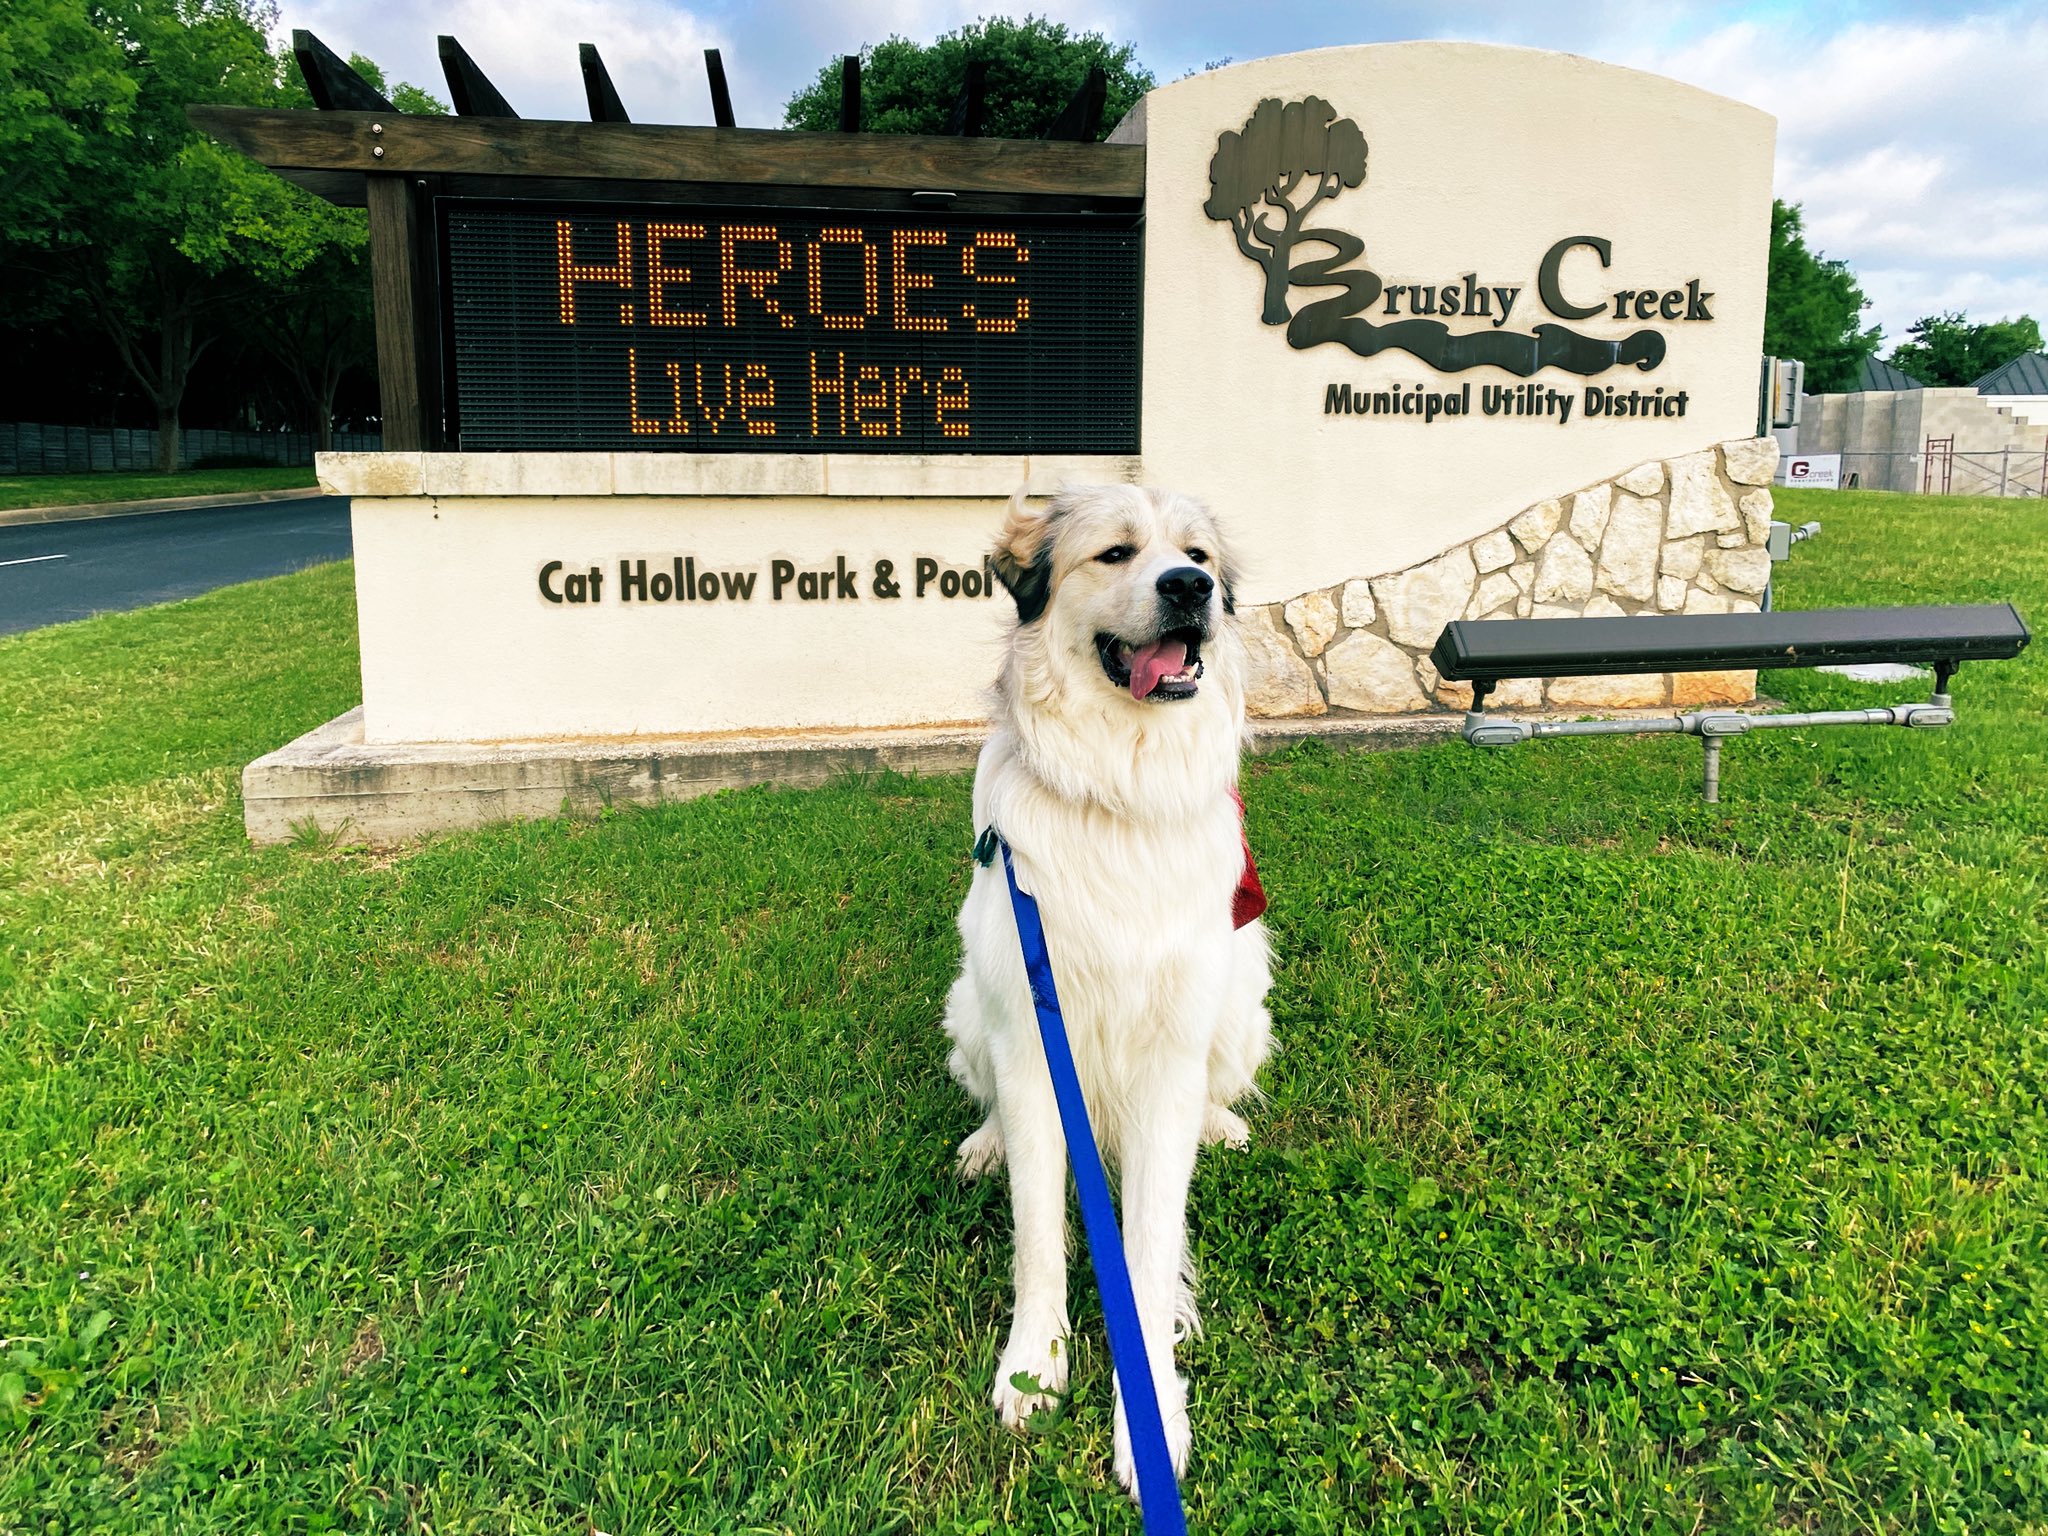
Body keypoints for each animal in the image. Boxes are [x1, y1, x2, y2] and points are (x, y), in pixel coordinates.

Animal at [946, 483, 1269, 1507]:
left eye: (1197, 556)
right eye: (1117, 553)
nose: (1190, 589)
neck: (1121, 791)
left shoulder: (1168, 1055)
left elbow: (1152, 1246)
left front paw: (1150, 1411)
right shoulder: (1028, 1033)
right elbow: (1039, 1230)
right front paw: (1033, 1367)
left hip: (1244, 995)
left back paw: (1223, 1124)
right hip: (969, 1003)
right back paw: (982, 1145)